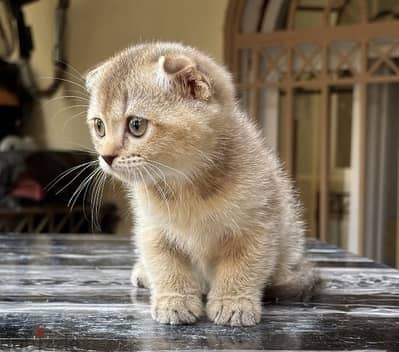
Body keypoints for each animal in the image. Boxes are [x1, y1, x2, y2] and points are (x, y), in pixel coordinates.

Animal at [86, 42, 320, 326]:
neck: (186, 187)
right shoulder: (152, 228)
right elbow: (166, 264)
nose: (106, 157)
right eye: (99, 126)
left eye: (136, 125)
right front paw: (174, 300)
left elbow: (243, 265)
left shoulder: (260, 224)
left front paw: (234, 302)